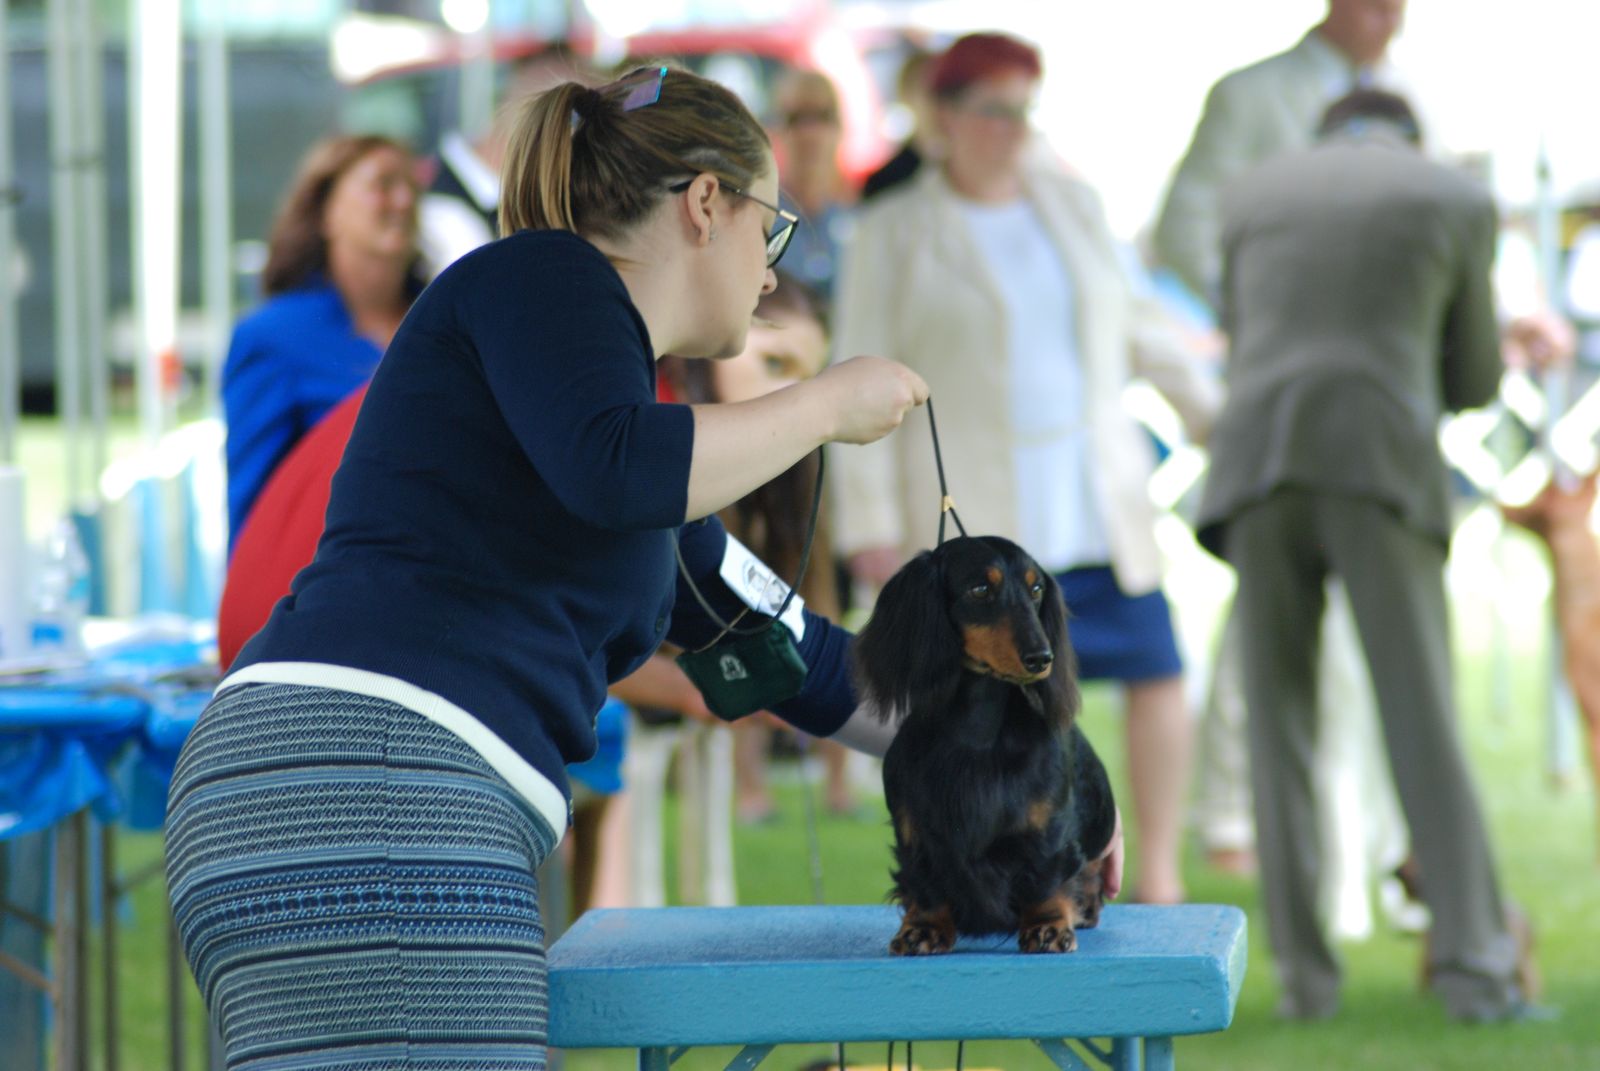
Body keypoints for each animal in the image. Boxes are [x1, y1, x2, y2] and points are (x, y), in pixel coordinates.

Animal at [853, 535, 1117, 955]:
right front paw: (922, 928)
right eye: (980, 590)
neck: (977, 730)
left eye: (1036, 589)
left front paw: (1047, 925)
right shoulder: (917, 833)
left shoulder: (1048, 830)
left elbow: (1047, 878)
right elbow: (923, 885)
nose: (1042, 658)